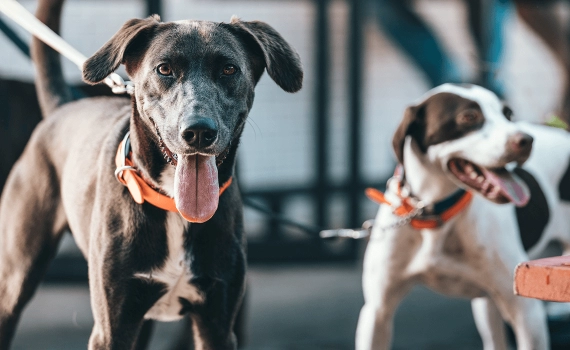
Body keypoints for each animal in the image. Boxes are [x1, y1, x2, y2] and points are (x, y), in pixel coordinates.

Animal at [0, 0, 302, 348]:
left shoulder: (216, 324)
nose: (199, 132)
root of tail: (63, 108)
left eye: (229, 69)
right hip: (16, 277)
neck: (174, 206)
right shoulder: (112, 327)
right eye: (164, 69)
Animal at [356, 84, 568, 350]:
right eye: (469, 117)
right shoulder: (377, 312)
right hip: (487, 304)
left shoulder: (526, 312)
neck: (434, 213)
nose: (526, 140)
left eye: (508, 114)